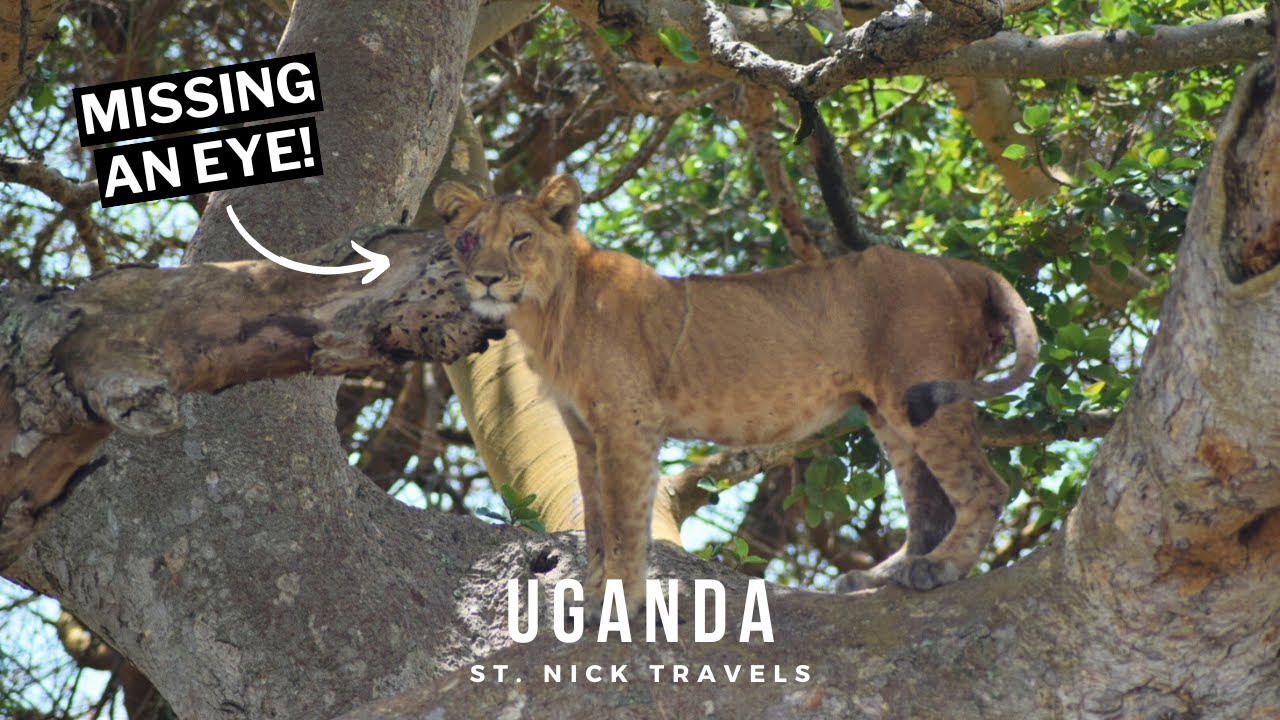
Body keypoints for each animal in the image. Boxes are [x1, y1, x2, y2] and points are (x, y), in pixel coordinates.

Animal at [434, 174, 1038, 609]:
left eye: (521, 238)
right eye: (468, 240)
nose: (486, 279)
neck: (545, 312)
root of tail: (961, 267)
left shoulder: (629, 420)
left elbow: (626, 518)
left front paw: (617, 600)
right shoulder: (584, 432)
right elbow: (598, 520)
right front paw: (592, 591)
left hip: (920, 394)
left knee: (984, 487)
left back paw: (941, 567)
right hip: (887, 410)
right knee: (929, 503)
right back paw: (885, 576)